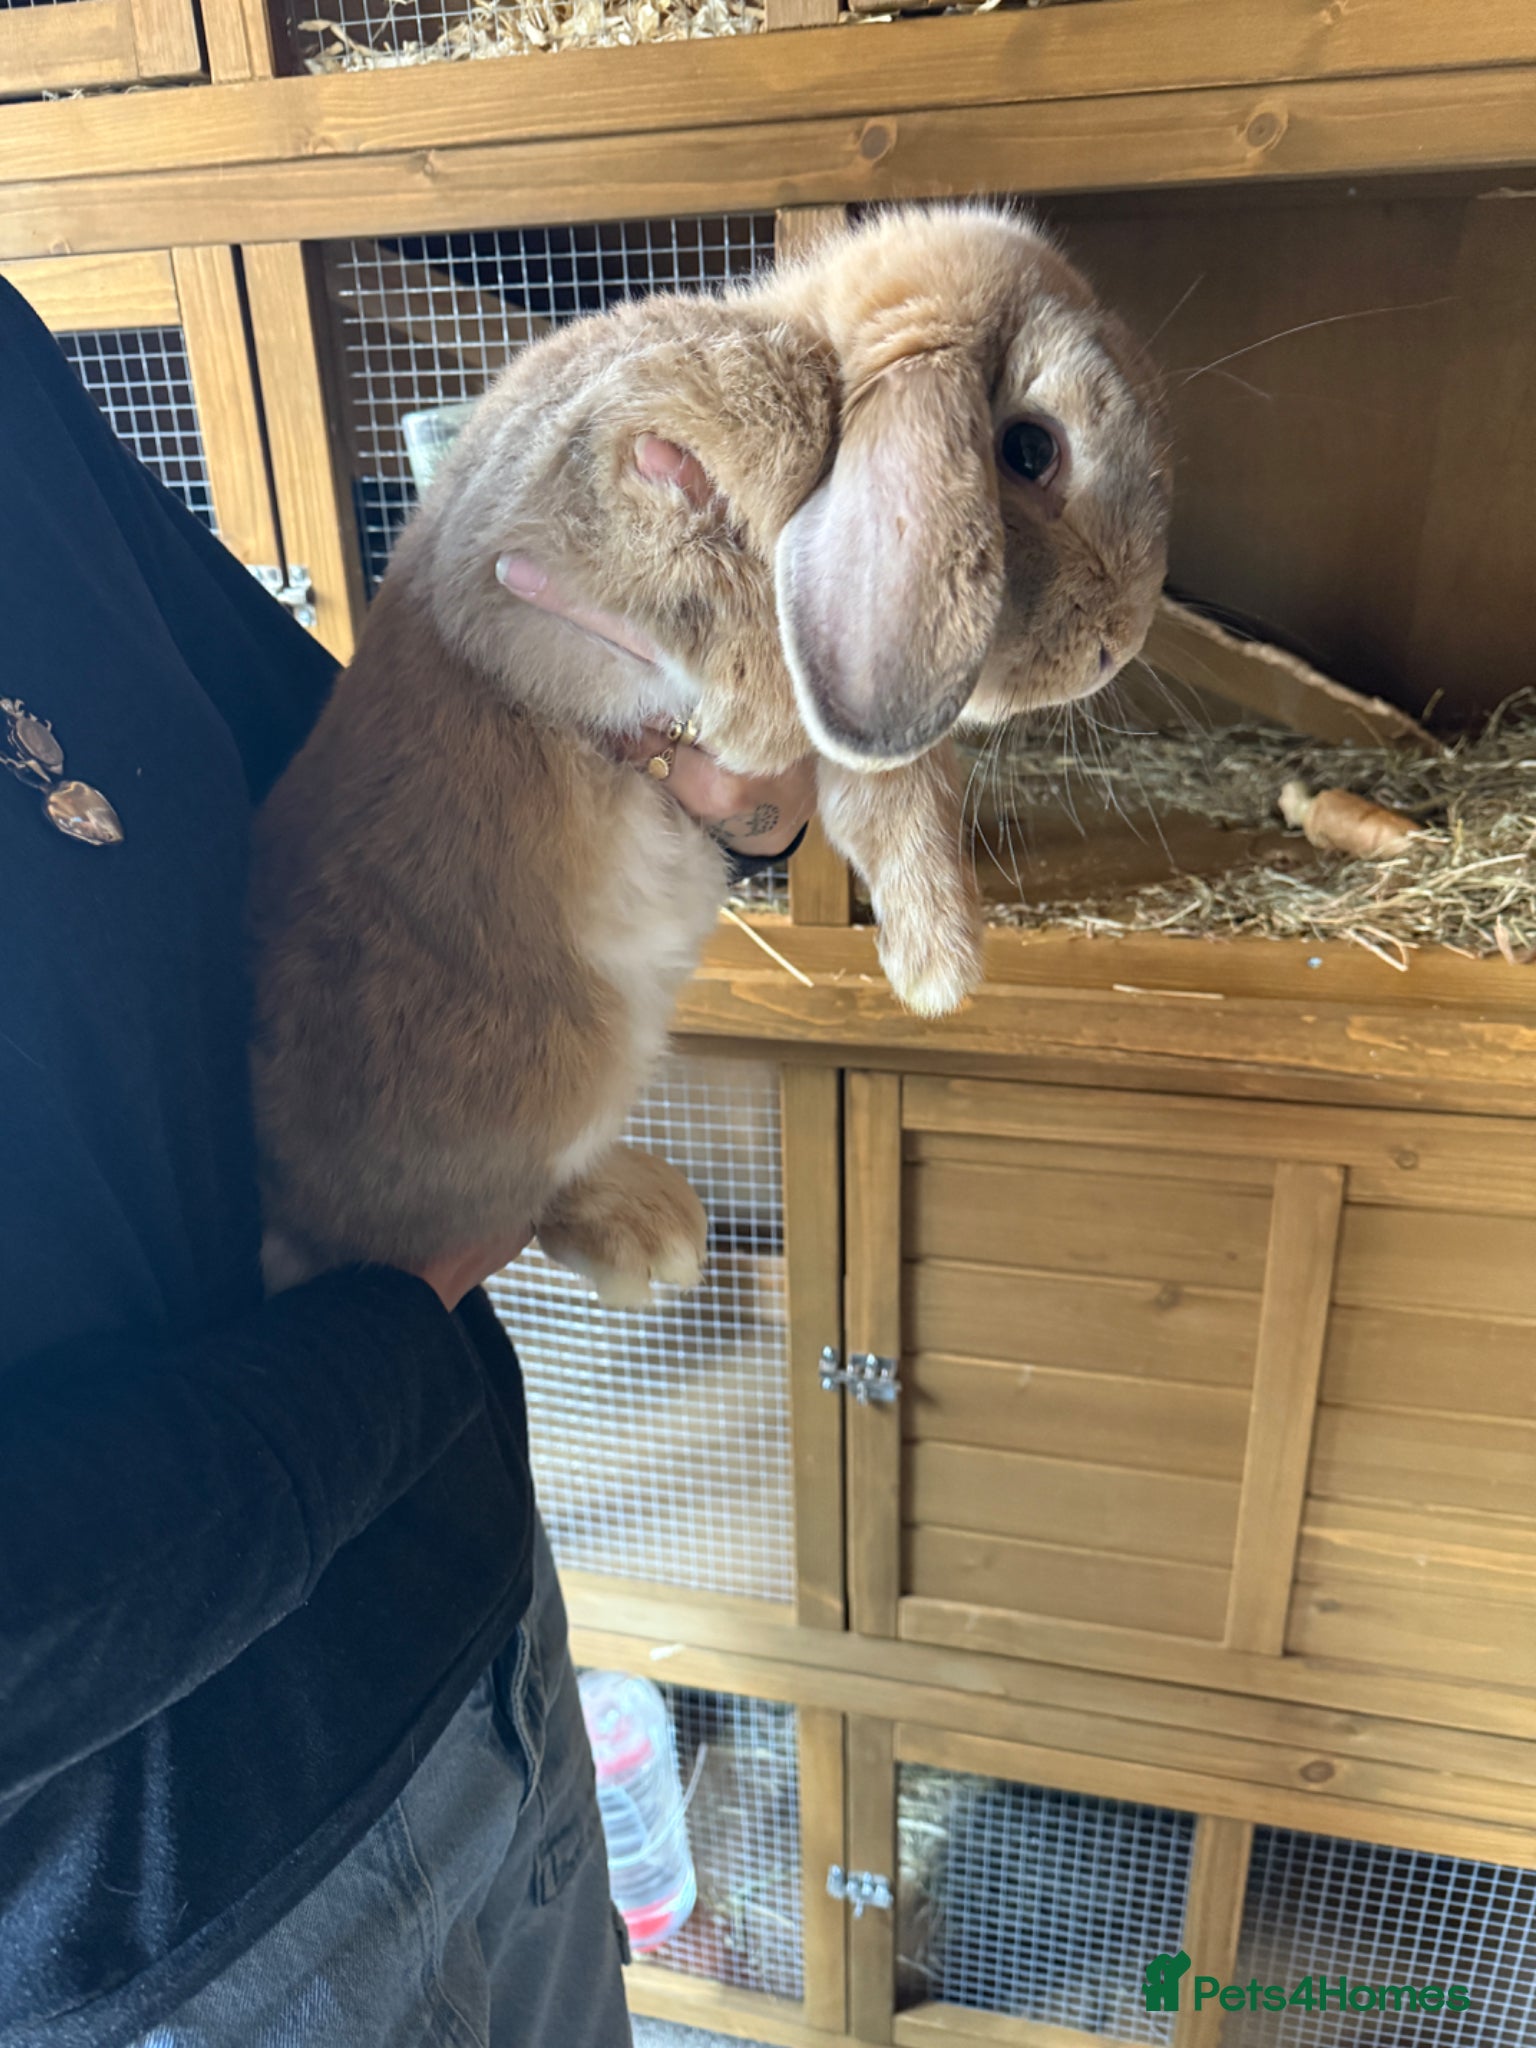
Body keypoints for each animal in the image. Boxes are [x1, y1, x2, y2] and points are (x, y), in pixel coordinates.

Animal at [248, 203, 1169, 1304]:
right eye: (1031, 450)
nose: (1124, 639)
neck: (817, 377)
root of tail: (285, 1200)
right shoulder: (617, 504)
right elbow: (739, 630)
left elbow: (892, 794)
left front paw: (937, 968)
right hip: (559, 1069)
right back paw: (653, 1233)